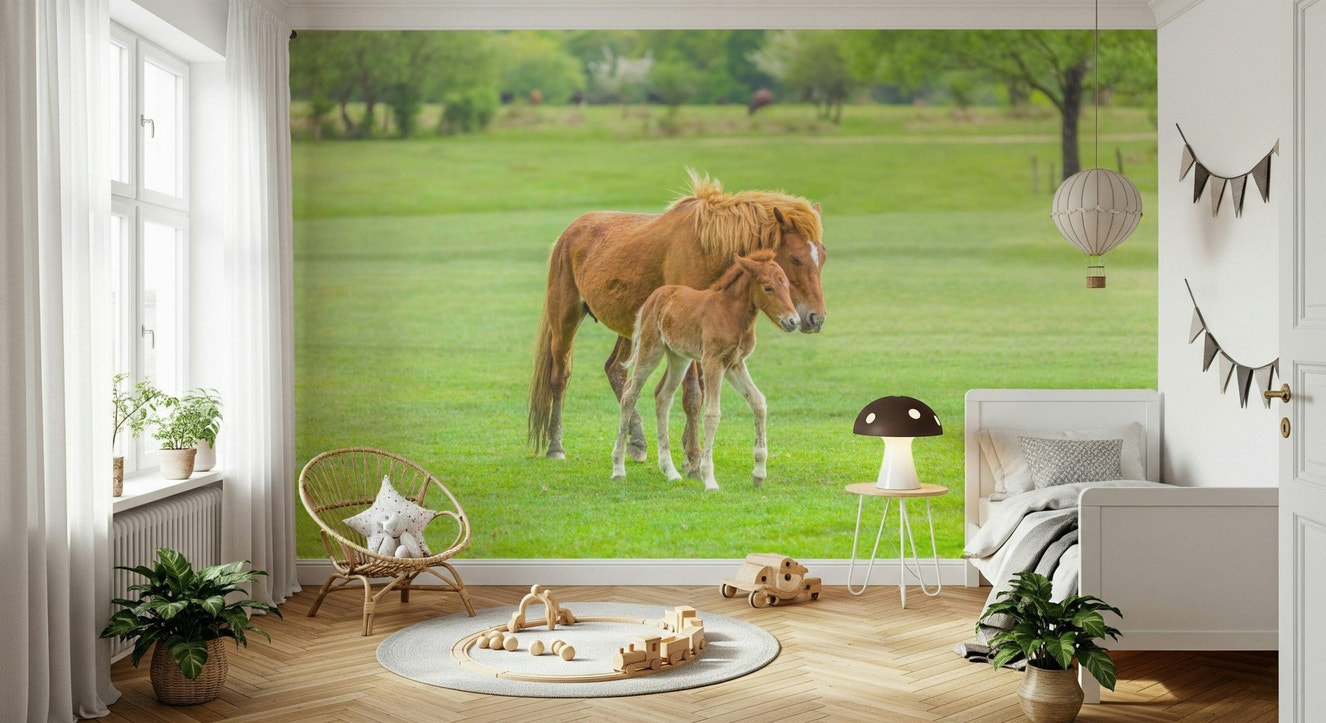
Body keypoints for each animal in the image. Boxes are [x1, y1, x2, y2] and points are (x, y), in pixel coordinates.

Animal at [612, 250, 799, 491]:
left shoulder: (734, 364)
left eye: (786, 283)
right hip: (650, 350)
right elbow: (712, 415)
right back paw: (618, 468)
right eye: (768, 287)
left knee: (663, 396)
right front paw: (709, 479)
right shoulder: (713, 362)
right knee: (630, 394)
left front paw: (758, 474)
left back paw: (670, 471)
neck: (730, 313)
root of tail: (655, 296)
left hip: (679, 357)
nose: (793, 321)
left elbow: (758, 402)